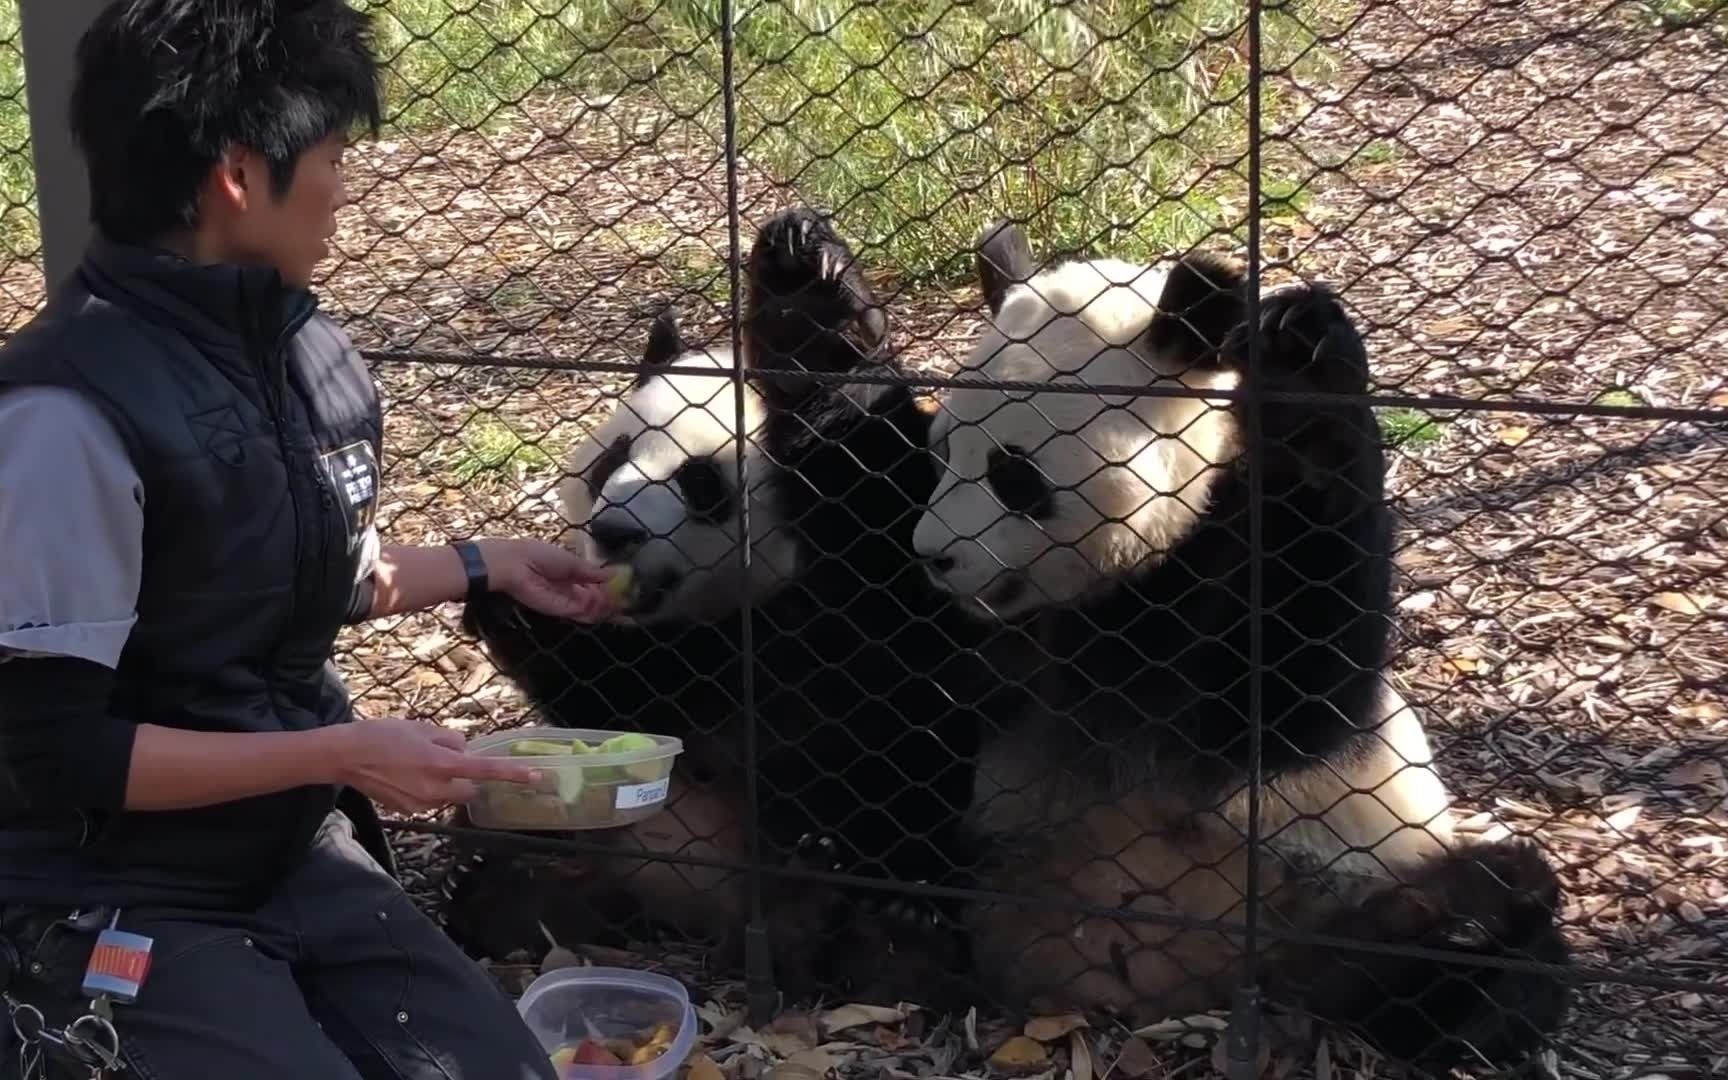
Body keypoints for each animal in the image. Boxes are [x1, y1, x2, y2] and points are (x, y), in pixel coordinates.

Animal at [445, 206, 988, 995]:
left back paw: (879, 930)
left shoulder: (876, 561)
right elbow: (612, 694)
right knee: (523, 857)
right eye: (613, 460)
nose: (613, 531)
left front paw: (805, 302)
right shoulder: (669, 657)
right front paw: (516, 601)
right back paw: (516, 892)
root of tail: (701, 902)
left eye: (701, 483)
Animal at [905, 219, 1582, 1071]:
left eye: (1013, 474)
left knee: (1489, 957)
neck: (1123, 589)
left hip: (1344, 861)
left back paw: (1470, 941)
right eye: (942, 453)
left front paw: (1300, 342)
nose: (933, 556)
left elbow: (1299, 676)